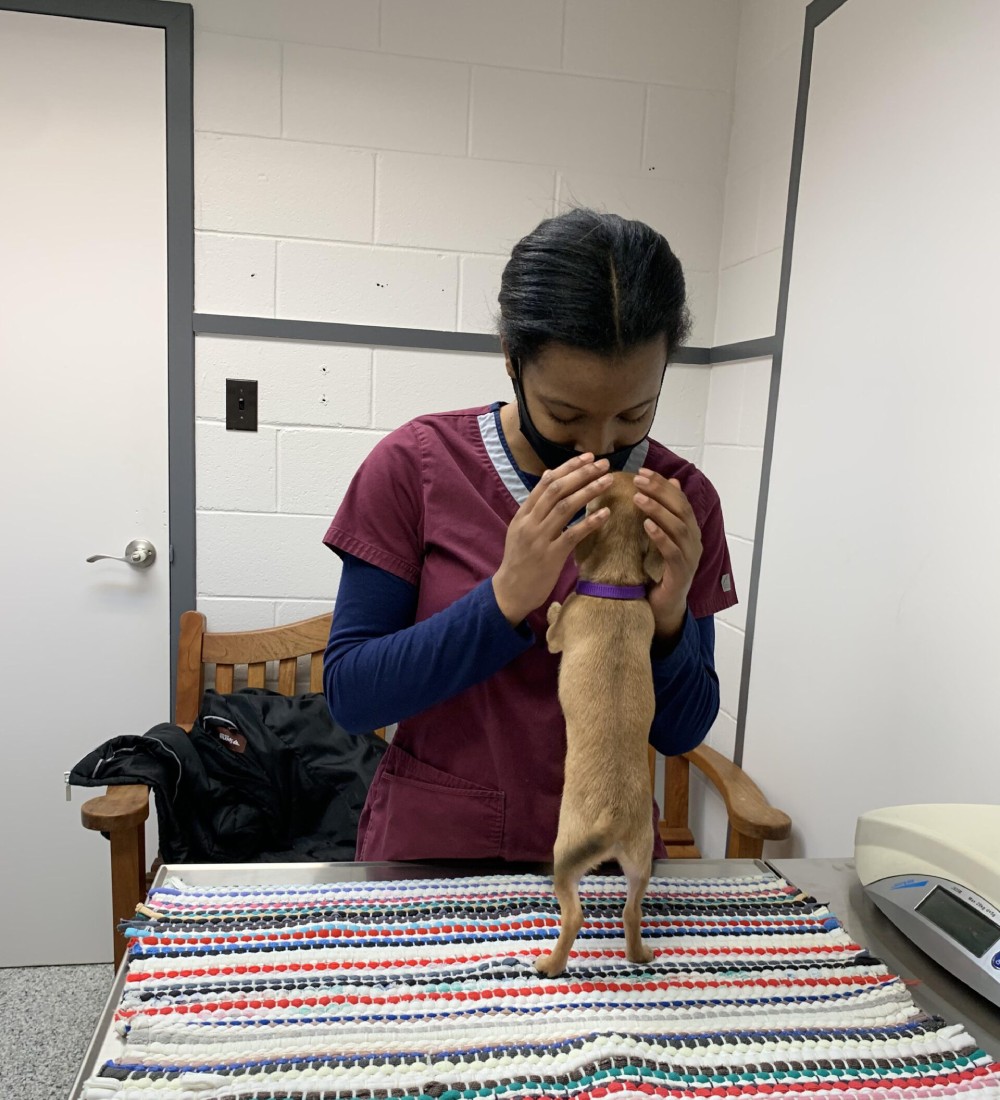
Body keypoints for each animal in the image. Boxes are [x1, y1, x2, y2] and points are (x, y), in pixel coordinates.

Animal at [530, 473, 664, 981]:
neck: (616, 584)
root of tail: (612, 815)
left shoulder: (558, 637)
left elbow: (554, 627)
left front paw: (550, 607)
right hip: (641, 863)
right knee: (631, 912)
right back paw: (638, 954)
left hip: (564, 857)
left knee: (574, 916)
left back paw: (551, 963)